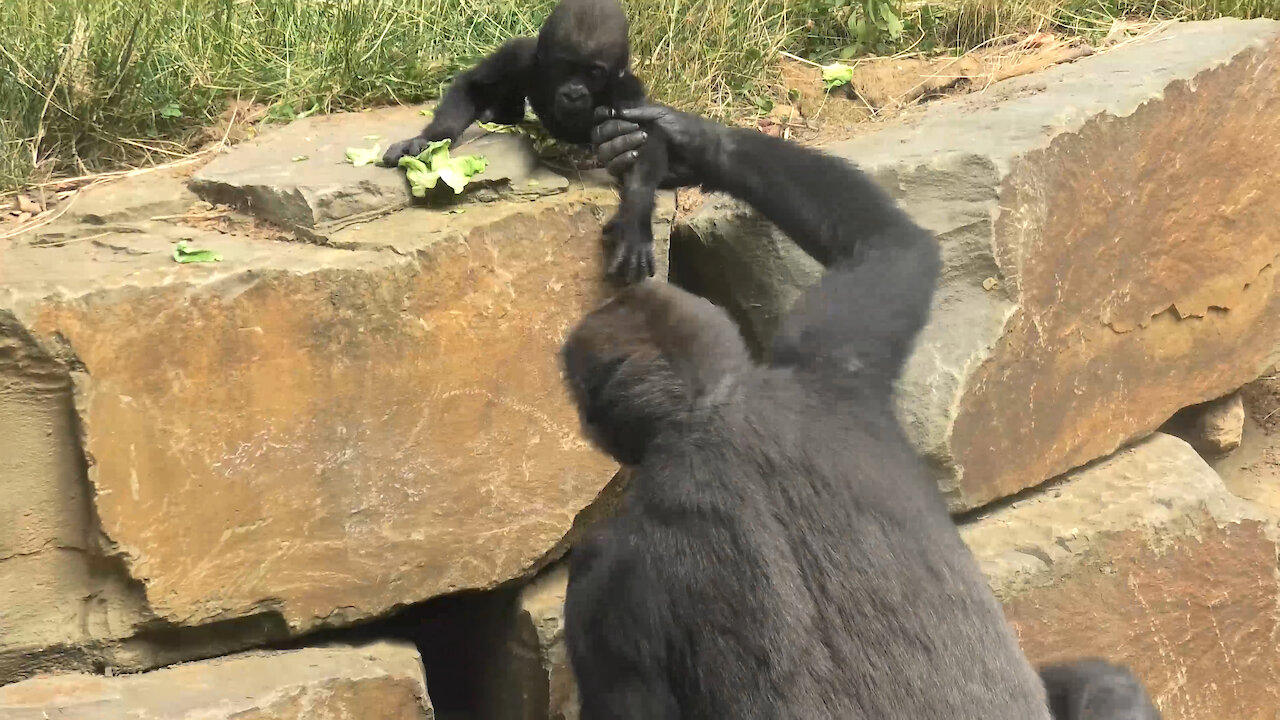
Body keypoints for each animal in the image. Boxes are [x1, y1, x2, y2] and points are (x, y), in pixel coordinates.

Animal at [384, 0, 670, 283]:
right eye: (564, 67)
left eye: (594, 73)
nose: (574, 93)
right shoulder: (519, 56)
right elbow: (473, 87)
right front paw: (426, 140)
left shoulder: (627, 91)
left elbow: (638, 142)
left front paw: (634, 221)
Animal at [558, 106, 1162, 717]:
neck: (711, 406)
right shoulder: (833, 355)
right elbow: (889, 243)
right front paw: (691, 141)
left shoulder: (602, 580)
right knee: (1108, 685)